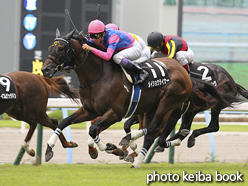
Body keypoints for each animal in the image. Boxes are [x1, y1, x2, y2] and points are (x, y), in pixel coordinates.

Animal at [41, 29, 194, 166]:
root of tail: (182, 69)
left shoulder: (116, 113)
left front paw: (110, 148)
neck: (99, 76)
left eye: (60, 48)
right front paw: (49, 149)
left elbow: (93, 129)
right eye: (50, 48)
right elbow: (64, 122)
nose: (45, 69)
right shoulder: (90, 111)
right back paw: (136, 158)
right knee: (150, 133)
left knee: (154, 128)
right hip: (150, 109)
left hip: (167, 103)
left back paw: (130, 141)